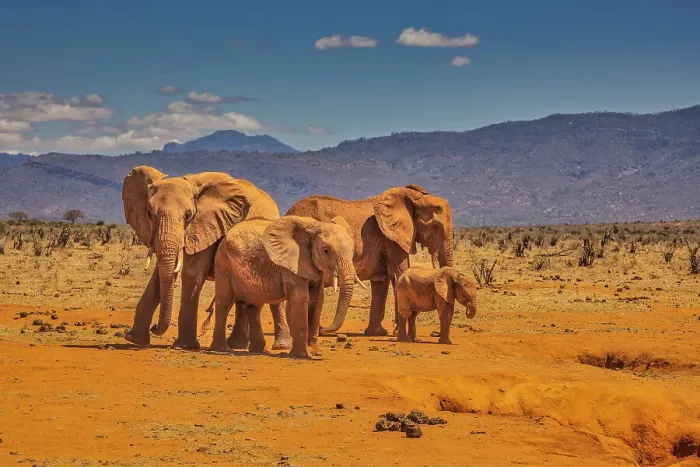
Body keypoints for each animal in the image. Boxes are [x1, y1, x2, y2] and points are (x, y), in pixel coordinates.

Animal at [121, 165, 291, 350]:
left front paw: (185, 346)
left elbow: (191, 272)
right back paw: (236, 345)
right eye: (149, 214)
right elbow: (160, 273)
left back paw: (280, 346)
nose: (154, 327)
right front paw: (134, 339)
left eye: (189, 215)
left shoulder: (209, 224)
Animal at [206, 215, 356, 358]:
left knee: (254, 306)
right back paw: (221, 349)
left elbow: (318, 299)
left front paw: (315, 351)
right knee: (224, 303)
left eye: (352, 251)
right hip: (223, 265)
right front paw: (300, 355)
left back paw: (259, 350)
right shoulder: (291, 263)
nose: (324, 329)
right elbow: (300, 299)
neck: (314, 226)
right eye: (326, 251)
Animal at [282, 184, 455, 337]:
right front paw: (397, 333)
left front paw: (377, 333)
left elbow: (382, 282)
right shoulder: (391, 239)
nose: (434, 333)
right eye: (435, 226)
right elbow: (400, 274)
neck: (413, 196)